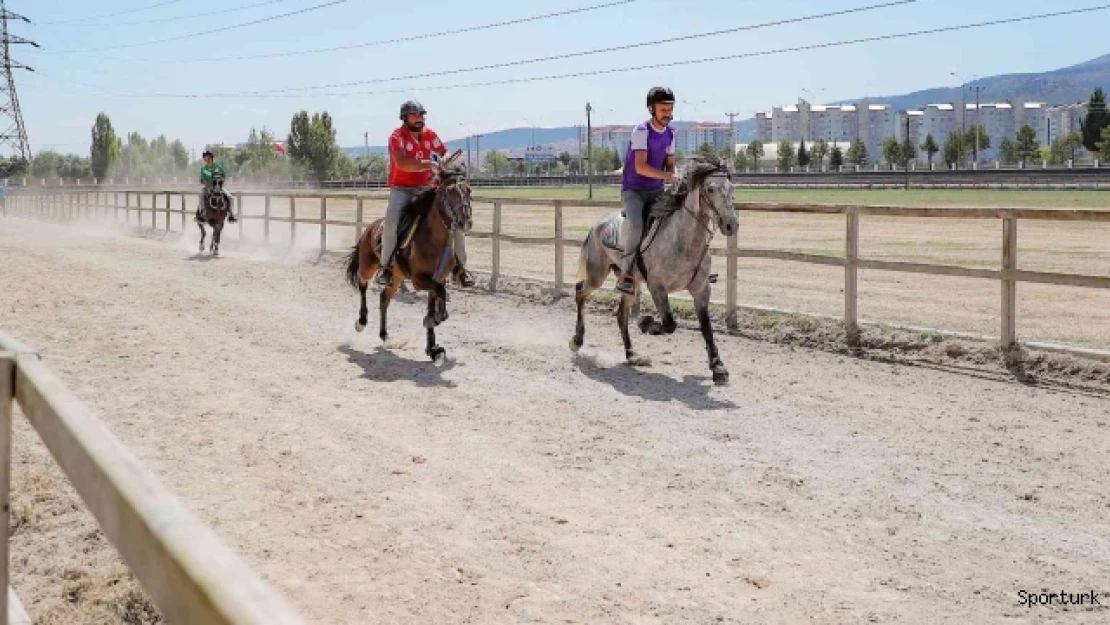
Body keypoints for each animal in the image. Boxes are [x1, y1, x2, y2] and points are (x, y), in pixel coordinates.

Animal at [341, 150, 472, 361]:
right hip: (368, 265)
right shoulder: (419, 279)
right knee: (362, 285)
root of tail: (369, 229)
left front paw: (432, 347)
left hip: (396, 276)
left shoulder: (437, 278)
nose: (465, 222)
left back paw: (385, 335)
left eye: (469, 191)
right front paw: (436, 318)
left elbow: (436, 298)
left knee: (384, 298)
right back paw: (361, 321)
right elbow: (440, 297)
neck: (434, 240)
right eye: (450, 191)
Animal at [572, 154, 737, 384]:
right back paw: (576, 341)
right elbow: (669, 323)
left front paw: (718, 367)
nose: (731, 224)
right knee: (580, 292)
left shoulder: (701, 288)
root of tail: (597, 225)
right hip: (597, 273)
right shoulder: (657, 286)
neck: (682, 241)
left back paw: (632, 355)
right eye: (710, 189)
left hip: (629, 283)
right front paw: (647, 323)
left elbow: (706, 327)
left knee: (621, 315)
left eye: (731, 188)